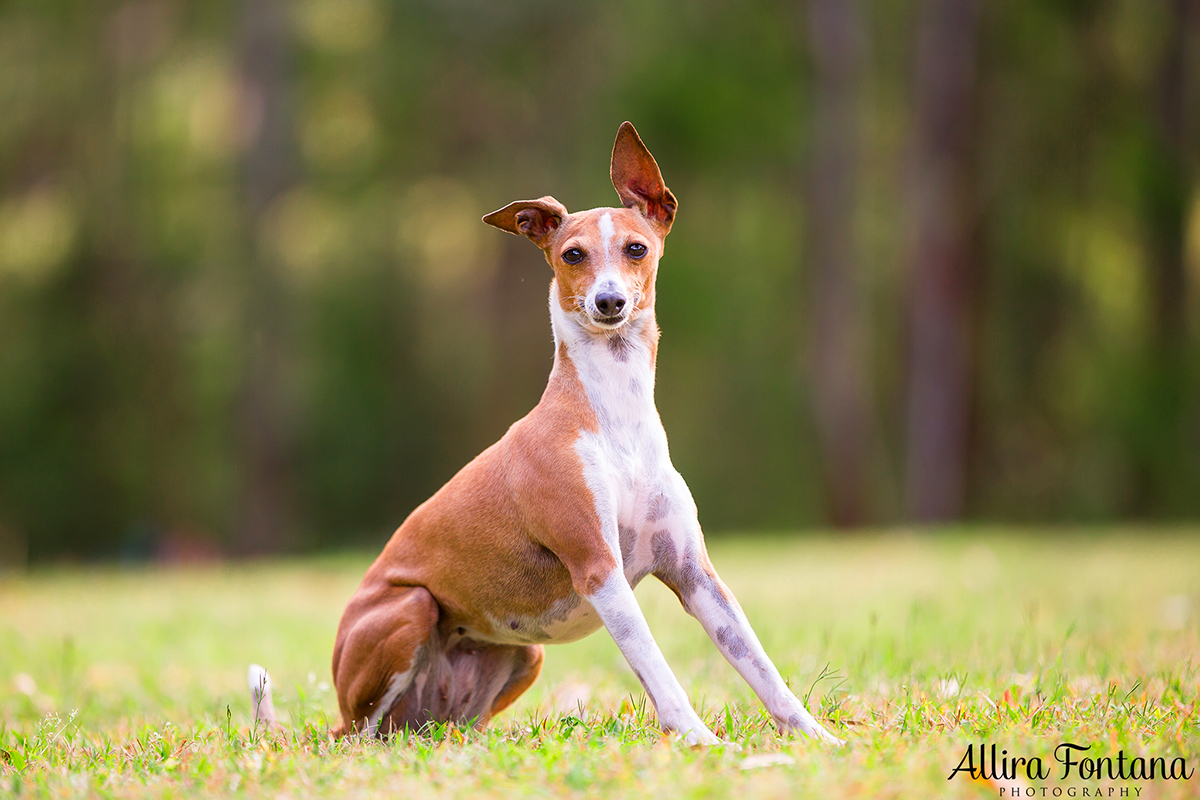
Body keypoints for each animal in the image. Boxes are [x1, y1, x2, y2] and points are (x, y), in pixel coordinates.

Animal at [248, 122, 840, 748]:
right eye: (572, 254)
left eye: (636, 247)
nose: (609, 301)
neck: (616, 421)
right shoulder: (599, 570)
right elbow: (659, 671)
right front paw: (701, 741)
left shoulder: (696, 577)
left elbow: (764, 672)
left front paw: (820, 741)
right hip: (410, 611)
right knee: (363, 733)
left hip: (521, 659)